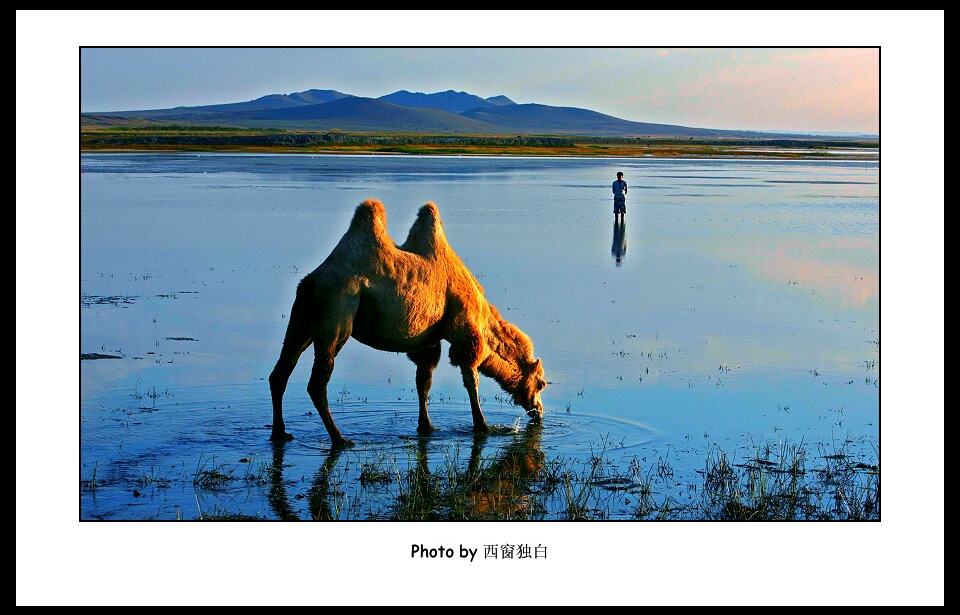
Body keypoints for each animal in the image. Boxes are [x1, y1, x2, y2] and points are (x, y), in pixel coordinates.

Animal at [266, 200, 548, 446]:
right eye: (542, 383)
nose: (539, 410)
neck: (482, 312)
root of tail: (312, 281)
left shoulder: (428, 341)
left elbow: (423, 382)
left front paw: (427, 426)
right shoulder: (464, 332)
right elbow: (471, 380)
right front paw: (483, 426)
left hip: (301, 319)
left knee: (280, 372)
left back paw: (280, 433)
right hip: (337, 313)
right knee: (318, 381)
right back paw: (340, 439)